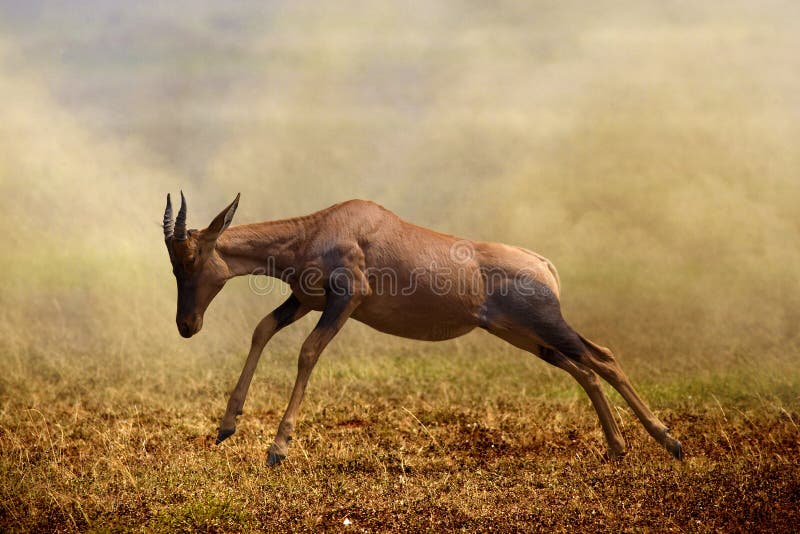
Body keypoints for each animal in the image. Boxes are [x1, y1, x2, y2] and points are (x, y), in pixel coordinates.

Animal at [163, 193, 683, 465]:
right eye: (174, 262)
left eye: (191, 257)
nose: (187, 325)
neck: (324, 227)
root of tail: (543, 264)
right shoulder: (306, 302)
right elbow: (261, 330)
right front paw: (226, 426)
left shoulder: (345, 301)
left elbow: (307, 353)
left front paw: (277, 448)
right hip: (526, 336)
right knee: (585, 369)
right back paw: (617, 447)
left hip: (545, 325)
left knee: (603, 357)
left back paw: (669, 442)